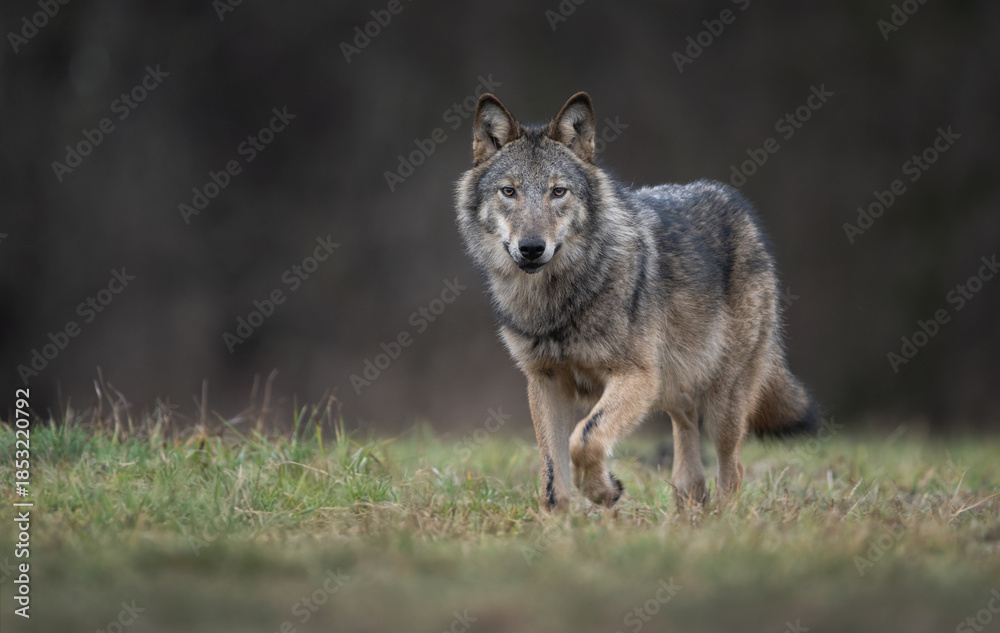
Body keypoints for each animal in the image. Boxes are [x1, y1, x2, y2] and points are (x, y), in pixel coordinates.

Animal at [455, 92, 817, 511]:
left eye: (558, 191)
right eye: (509, 191)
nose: (531, 248)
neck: (561, 300)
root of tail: (739, 208)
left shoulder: (637, 377)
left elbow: (586, 439)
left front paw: (604, 491)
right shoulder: (545, 382)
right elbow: (552, 476)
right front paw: (562, 522)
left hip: (721, 401)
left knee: (733, 471)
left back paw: (725, 520)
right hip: (674, 385)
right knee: (688, 443)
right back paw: (687, 508)